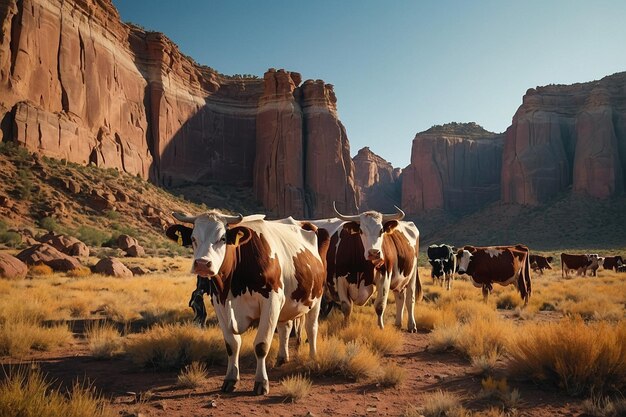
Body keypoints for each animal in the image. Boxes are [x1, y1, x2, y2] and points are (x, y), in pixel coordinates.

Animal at [166, 211, 324, 394]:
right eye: (193, 238)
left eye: (223, 238)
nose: (202, 264)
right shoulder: (219, 304)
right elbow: (232, 345)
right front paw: (230, 378)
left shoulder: (272, 301)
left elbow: (261, 345)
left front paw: (261, 382)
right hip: (287, 305)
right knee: (285, 327)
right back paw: (282, 358)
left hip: (316, 299)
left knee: (311, 328)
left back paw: (312, 358)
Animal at [310, 204, 422, 332]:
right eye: (361, 231)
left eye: (381, 230)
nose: (374, 252)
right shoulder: (341, 278)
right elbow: (346, 307)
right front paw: (346, 326)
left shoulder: (385, 276)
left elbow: (380, 305)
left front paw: (380, 327)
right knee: (400, 298)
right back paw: (398, 323)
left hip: (411, 275)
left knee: (410, 299)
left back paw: (412, 325)